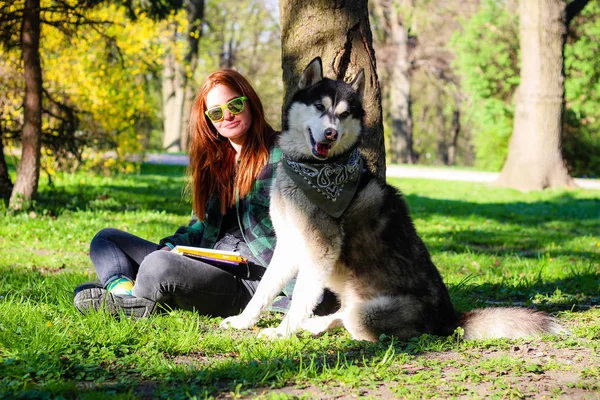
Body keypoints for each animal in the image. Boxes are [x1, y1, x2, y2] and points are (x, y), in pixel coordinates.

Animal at [219, 57, 564, 342]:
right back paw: (315, 324)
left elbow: (302, 297)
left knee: (352, 322)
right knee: (341, 314)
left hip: (367, 314)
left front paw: (282, 332)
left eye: (344, 114)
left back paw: (318, 326)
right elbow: (264, 291)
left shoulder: (320, 246)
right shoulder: (290, 243)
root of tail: (451, 320)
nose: (331, 133)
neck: (313, 170)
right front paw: (243, 321)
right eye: (319, 107)